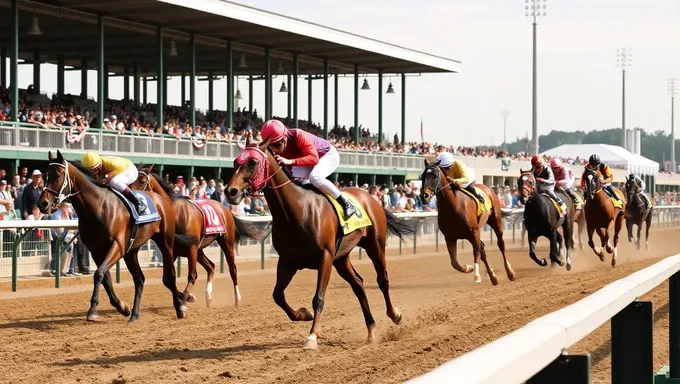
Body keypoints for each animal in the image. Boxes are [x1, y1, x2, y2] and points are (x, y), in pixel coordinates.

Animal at [37, 148, 198, 322]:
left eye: (57, 175)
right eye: (45, 175)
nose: (42, 203)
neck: (98, 206)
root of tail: (163, 200)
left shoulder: (117, 246)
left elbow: (99, 274)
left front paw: (93, 310)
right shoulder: (96, 251)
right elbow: (105, 279)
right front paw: (122, 307)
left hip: (165, 242)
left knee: (170, 275)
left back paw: (180, 306)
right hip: (132, 251)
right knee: (139, 279)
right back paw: (134, 315)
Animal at [131, 165, 270, 306]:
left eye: (142, 181)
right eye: (131, 181)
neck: (176, 215)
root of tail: (226, 209)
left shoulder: (191, 248)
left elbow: (192, 276)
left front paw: (186, 297)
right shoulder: (172, 251)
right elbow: (166, 279)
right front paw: (187, 297)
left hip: (226, 243)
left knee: (233, 269)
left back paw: (237, 298)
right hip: (199, 250)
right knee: (211, 266)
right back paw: (208, 297)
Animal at [226, 138, 414, 352]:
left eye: (253, 163)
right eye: (235, 162)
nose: (230, 192)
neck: (297, 211)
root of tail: (369, 197)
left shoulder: (324, 256)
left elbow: (318, 298)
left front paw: (312, 336)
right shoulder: (287, 262)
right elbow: (278, 295)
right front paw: (302, 314)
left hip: (375, 245)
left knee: (382, 280)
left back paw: (395, 314)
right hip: (341, 258)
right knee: (358, 285)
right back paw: (372, 330)